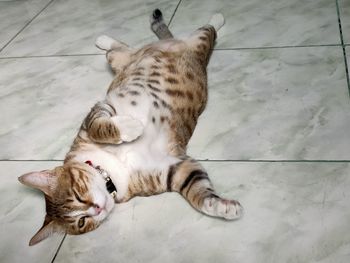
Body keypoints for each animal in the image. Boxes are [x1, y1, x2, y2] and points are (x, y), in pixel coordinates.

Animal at [17, 8, 242, 248]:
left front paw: (130, 127)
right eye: (82, 222)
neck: (111, 169)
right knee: (122, 48)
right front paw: (221, 206)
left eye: (78, 195)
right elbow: (197, 189)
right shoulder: (172, 169)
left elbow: (99, 125)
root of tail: (169, 43)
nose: (98, 209)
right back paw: (105, 40)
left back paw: (216, 18)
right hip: (119, 59)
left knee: (206, 30)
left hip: (199, 42)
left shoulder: (99, 111)